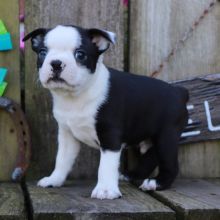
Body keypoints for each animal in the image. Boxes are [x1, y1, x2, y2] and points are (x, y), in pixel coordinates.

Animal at [23, 25, 189, 199]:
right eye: (42, 53)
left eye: (80, 54)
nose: (56, 63)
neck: (76, 96)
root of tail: (179, 92)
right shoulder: (67, 135)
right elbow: (62, 159)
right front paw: (54, 179)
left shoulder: (110, 136)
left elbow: (106, 165)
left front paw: (106, 190)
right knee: (151, 156)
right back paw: (132, 175)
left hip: (166, 135)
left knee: (169, 162)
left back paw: (157, 183)